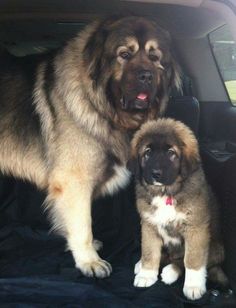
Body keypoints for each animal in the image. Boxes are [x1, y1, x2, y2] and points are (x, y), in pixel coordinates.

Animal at [0, 16, 181, 276]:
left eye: (155, 57)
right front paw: (89, 260)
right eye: (124, 54)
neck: (100, 105)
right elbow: (83, 223)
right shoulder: (74, 182)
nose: (146, 75)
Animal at [130, 119, 228, 300]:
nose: (155, 174)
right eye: (147, 152)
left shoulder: (196, 228)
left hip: (216, 249)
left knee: (181, 260)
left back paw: (171, 272)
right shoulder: (148, 224)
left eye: (171, 152)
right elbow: (149, 251)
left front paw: (193, 286)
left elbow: (192, 259)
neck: (166, 193)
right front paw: (147, 274)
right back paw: (141, 264)